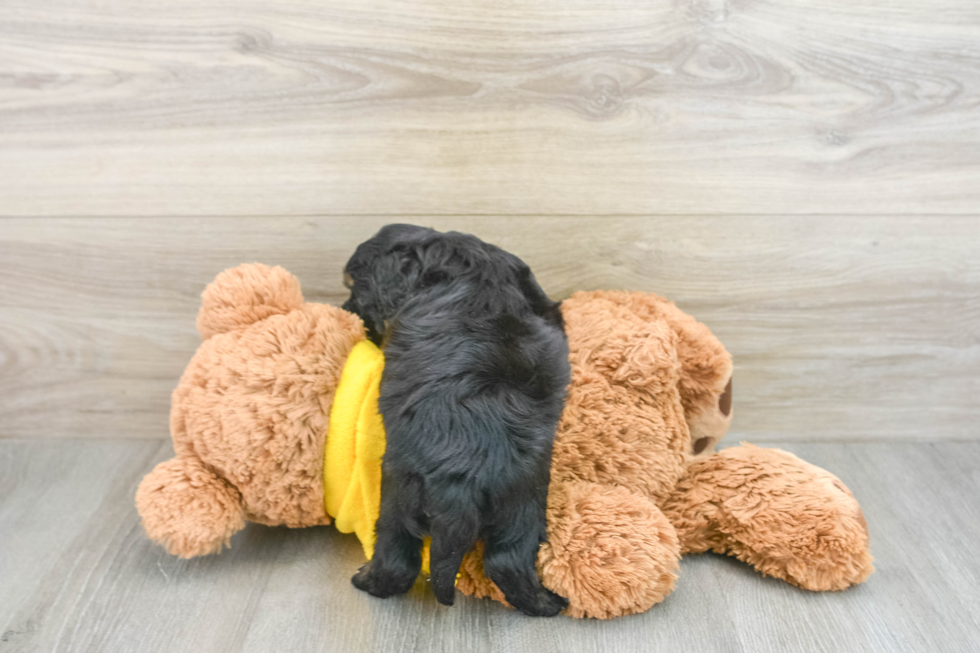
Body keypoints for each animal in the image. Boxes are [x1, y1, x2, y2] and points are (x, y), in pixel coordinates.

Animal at [342, 224, 572, 616]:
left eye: (352, 286)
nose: (345, 310)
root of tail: (462, 478)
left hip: (400, 489)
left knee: (398, 554)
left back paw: (367, 580)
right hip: (522, 499)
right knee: (508, 559)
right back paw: (547, 603)